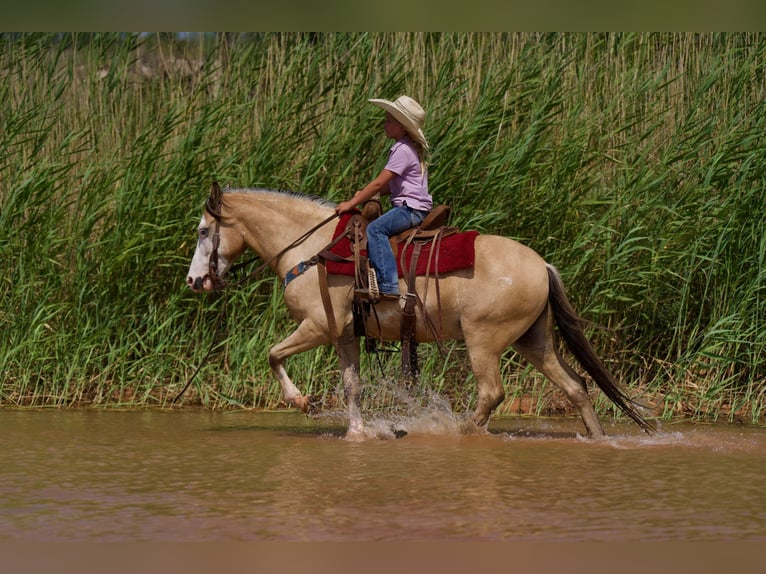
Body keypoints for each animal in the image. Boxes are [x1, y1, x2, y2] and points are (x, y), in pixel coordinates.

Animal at [185, 184, 655, 439]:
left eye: (204, 231)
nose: (195, 281)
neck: (312, 250)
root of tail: (542, 265)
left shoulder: (318, 326)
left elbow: (273, 354)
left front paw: (303, 401)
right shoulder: (344, 334)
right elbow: (352, 387)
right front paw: (356, 433)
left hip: (484, 340)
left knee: (492, 394)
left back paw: (457, 432)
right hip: (533, 340)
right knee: (577, 387)